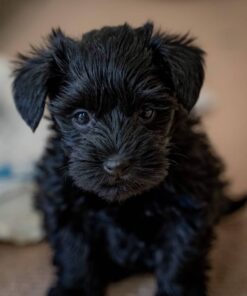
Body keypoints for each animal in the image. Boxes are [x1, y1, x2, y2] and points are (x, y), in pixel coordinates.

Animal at [13, 23, 245, 296]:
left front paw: (176, 291)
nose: (117, 165)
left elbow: (180, 258)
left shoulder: (189, 204)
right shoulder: (65, 205)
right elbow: (74, 253)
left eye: (147, 112)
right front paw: (74, 289)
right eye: (81, 117)